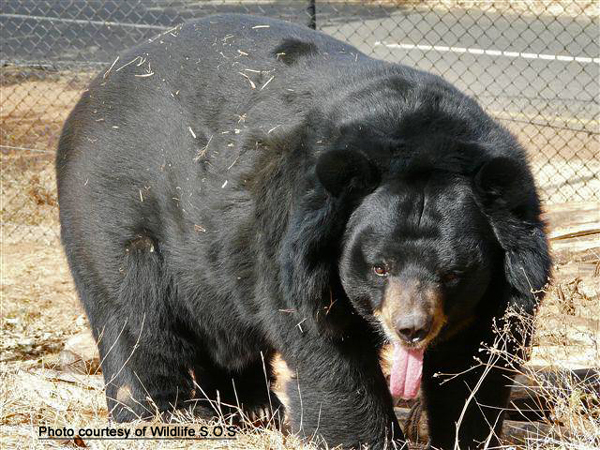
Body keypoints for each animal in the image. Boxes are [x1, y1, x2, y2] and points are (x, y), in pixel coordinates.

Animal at [56, 14, 548, 450]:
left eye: (453, 274)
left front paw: (466, 433)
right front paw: (362, 437)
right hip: (114, 210)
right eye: (379, 267)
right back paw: (159, 413)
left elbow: (476, 361)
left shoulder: (503, 285)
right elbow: (326, 347)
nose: (411, 329)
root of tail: (95, 88)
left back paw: (251, 409)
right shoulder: (294, 238)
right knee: (134, 315)